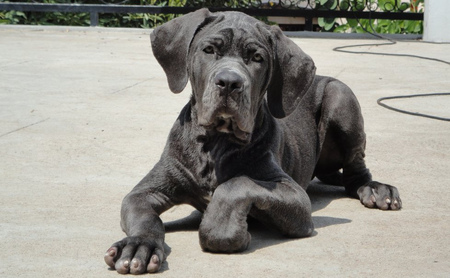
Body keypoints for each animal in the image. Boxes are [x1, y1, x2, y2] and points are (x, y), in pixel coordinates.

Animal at [104, 8, 400, 274]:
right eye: (209, 50)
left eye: (257, 57)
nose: (229, 82)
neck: (216, 144)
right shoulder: (144, 192)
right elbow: (145, 217)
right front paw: (138, 245)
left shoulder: (295, 198)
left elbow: (238, 184)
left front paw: (226, 228)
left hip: (341, 97)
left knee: (355, 172)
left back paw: (376, 190)